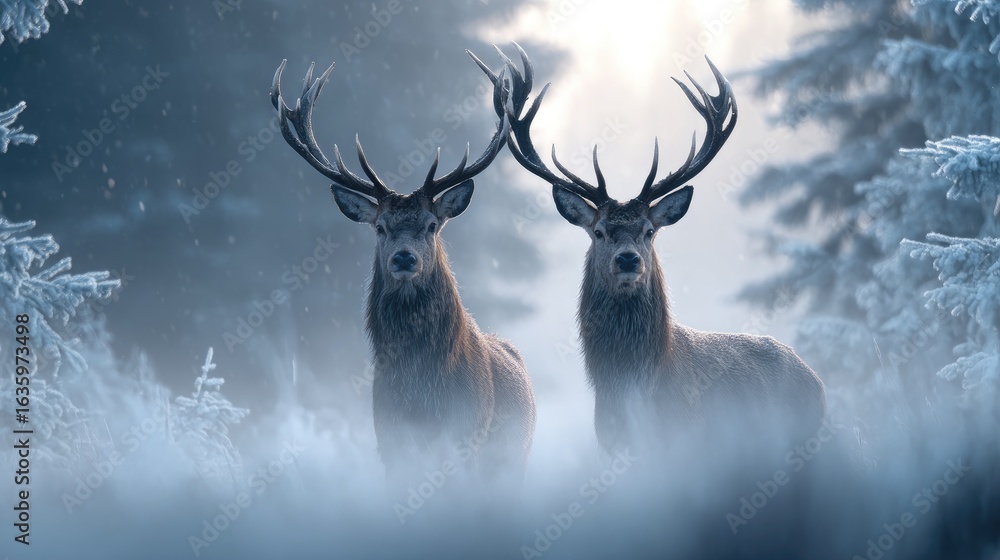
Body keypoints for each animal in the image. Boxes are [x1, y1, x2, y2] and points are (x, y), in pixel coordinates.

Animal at [271, 59, 536, 488]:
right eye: (380, 227)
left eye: (431, 225)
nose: (405, 259)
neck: (420, 389)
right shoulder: (389, 436)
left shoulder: (469, 431)